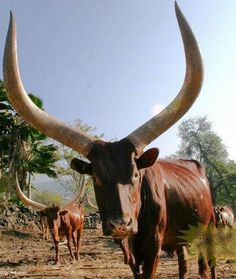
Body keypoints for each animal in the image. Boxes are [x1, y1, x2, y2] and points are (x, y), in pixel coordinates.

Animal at [4, 2, 218, 279]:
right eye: (95, 177)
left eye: (136, 175)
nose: (121, 224)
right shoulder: (128, 249)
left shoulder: (154, 244)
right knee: (184, 261)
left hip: (207, 227)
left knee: (207, 264)